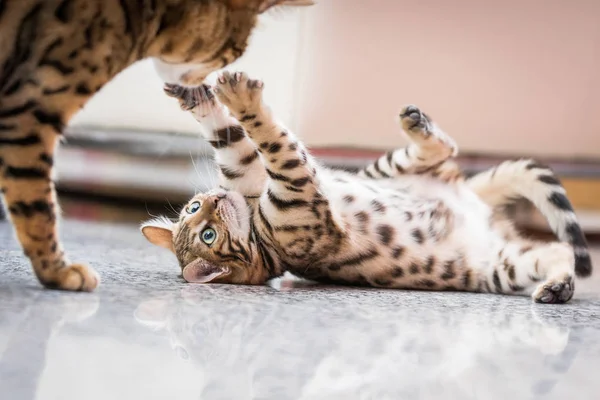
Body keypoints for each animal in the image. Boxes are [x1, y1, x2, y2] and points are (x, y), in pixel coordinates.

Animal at [143, 72, 592, 304]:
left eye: (193, 208)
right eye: (208, 235)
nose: (214, 199)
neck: (254, 220)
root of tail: (476, 207)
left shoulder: (247, 172)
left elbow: (231, 136)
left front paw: (195, 93)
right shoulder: (297, 186)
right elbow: (273, 139)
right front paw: (239, 97)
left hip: (382, 170)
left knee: (443, 150)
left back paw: (417, 123)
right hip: (504, 265)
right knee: (558, 250)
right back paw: (559, 285)